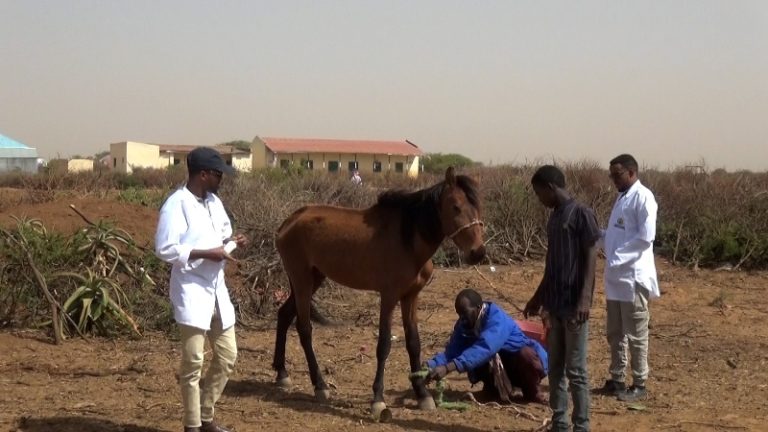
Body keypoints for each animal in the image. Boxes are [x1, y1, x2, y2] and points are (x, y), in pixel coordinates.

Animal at [272, 167, 484, 416]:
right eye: (456, 207)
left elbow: (414, 343)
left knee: (284, 315)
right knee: (304, 329)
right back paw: (320, 386)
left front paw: (422, 395)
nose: (478, 252)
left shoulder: (410, 296)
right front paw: (378, 399)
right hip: (302, 281)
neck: (407, 240)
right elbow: (384, 345)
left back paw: (282, 374)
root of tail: (289, 221)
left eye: (478, 207)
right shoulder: (389, 296)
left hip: (312, 279)